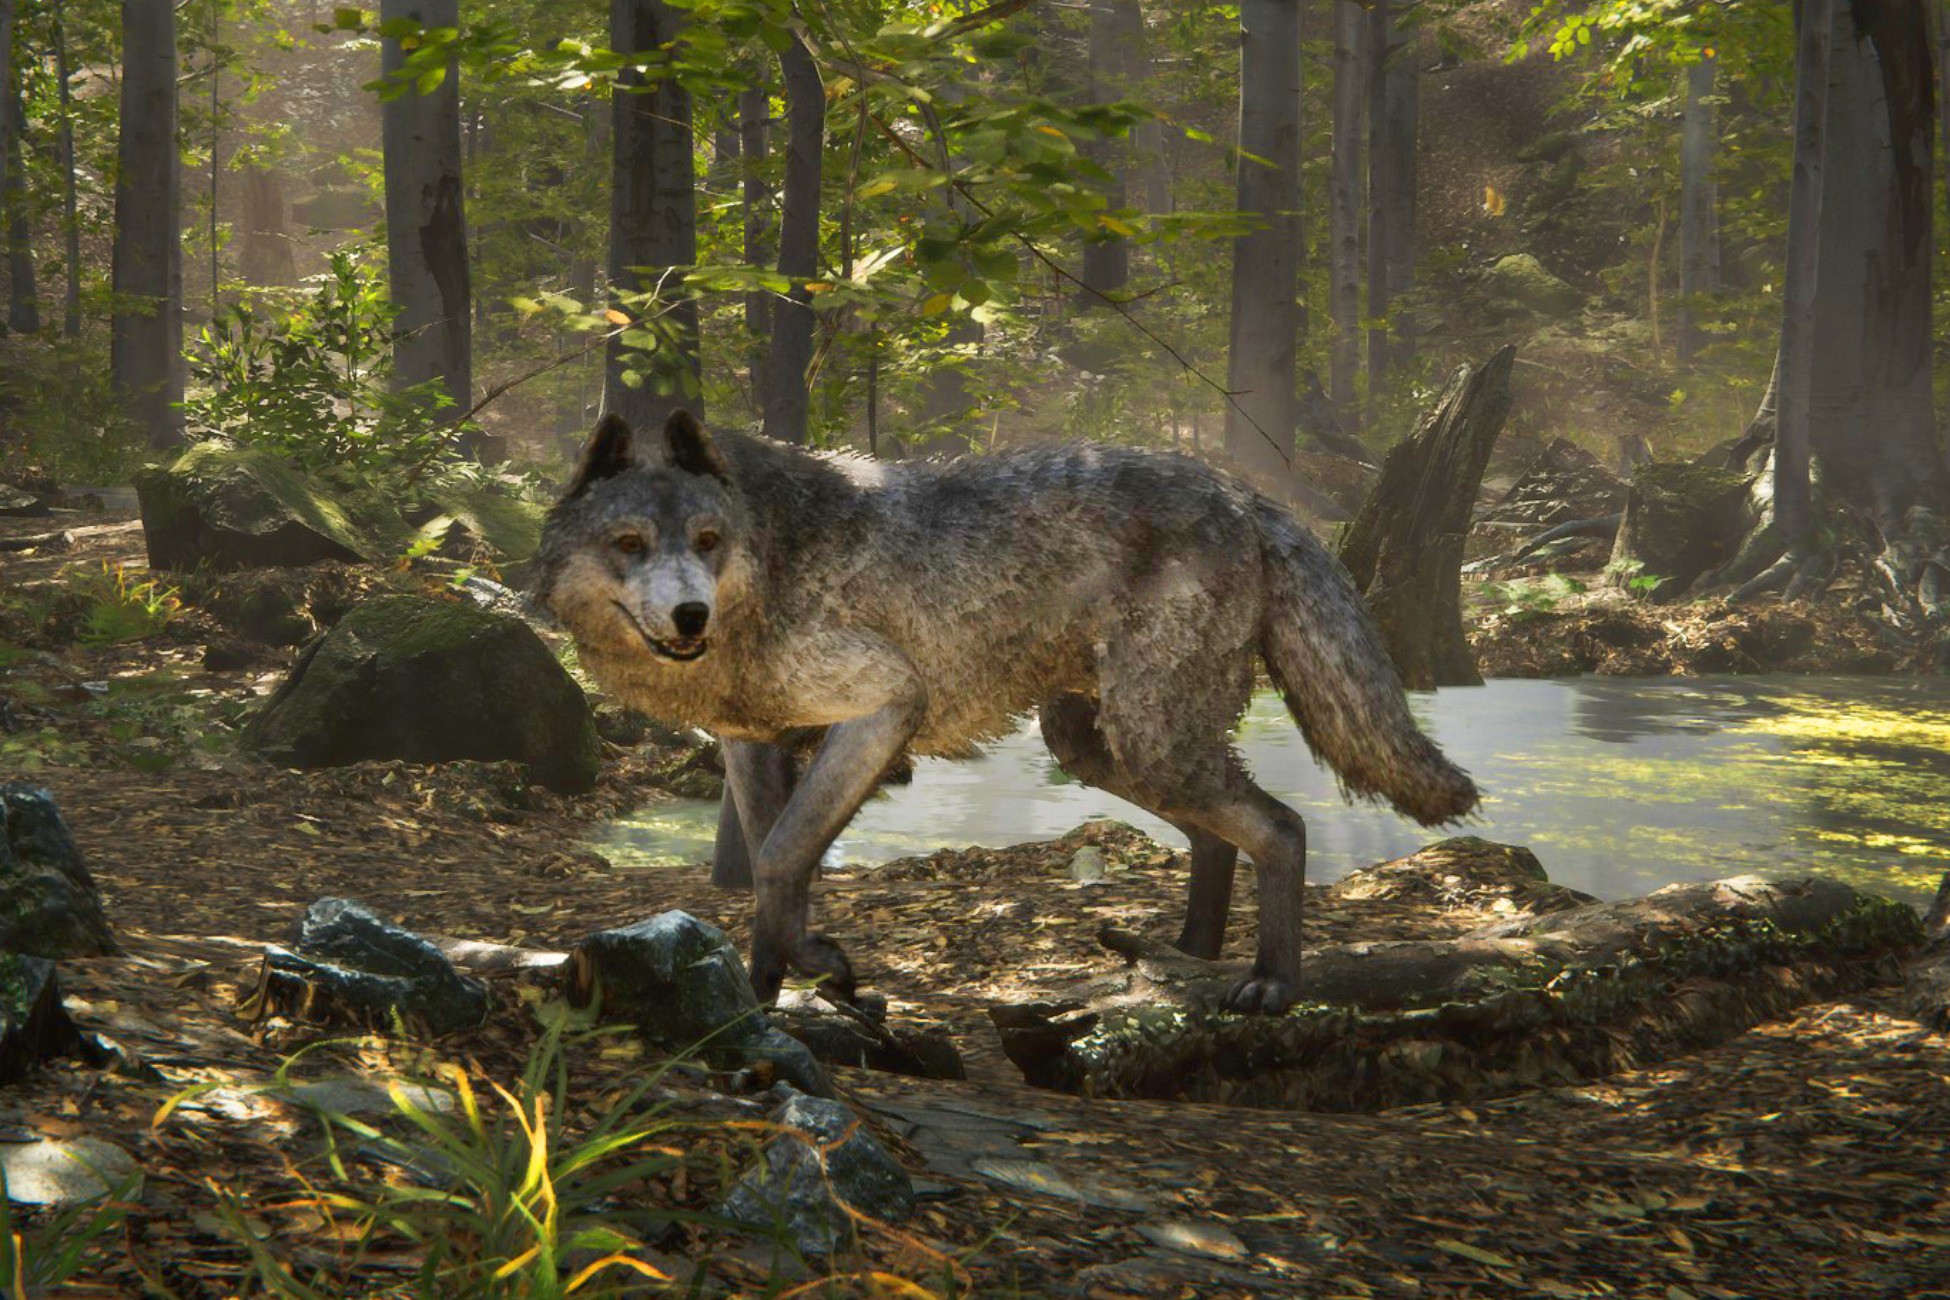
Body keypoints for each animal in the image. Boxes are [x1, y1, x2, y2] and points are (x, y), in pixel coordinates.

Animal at [536, 410, 1478, 1013]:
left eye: (706, 541)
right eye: (629, 545)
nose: (690, 616)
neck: (770, 560)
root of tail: (1245, 494)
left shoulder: (886, 706)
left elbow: (779, 856)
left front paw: (775, 986)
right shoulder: (751, 745)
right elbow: (783, 859)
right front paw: (803, 969)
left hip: (1147, 740)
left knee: (1281, 826)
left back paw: (1271, 984)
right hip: (1099, 744)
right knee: (1218, 836)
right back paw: (1186, 959)